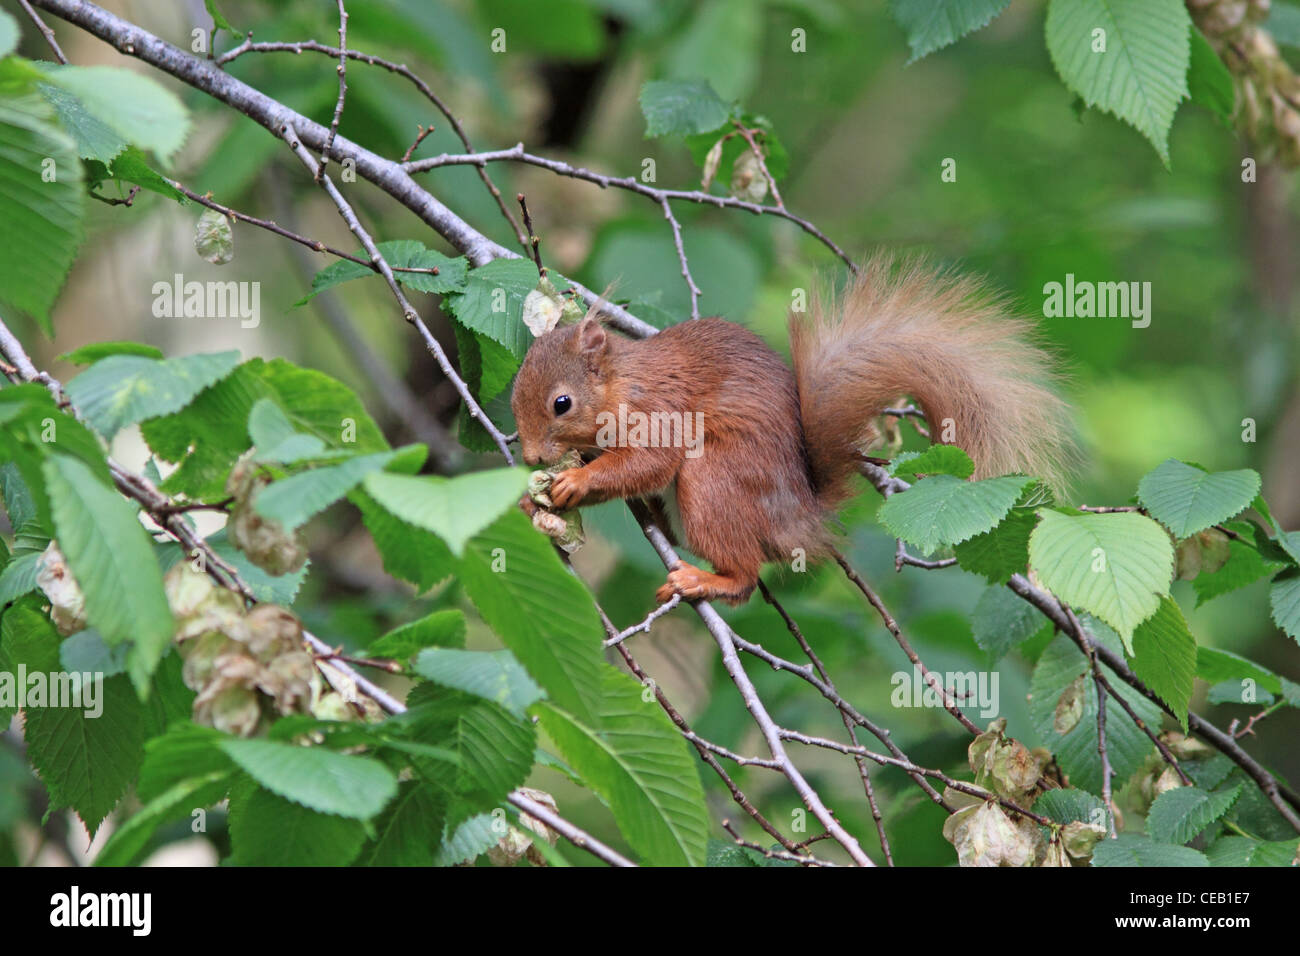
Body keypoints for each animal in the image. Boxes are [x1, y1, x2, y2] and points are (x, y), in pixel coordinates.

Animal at [512, 256, 1071, 606]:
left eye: (561, 403)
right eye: (515, 389)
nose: (533, 458)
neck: (620, 384)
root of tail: (796, 515)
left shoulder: (659, 412)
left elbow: (647, 462)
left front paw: (574, 481)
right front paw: (530, 497)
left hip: (713, 480)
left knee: (743, 577)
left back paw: (704, 581)